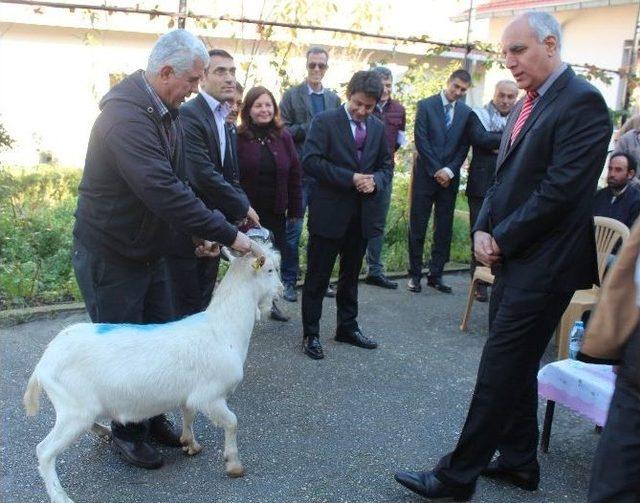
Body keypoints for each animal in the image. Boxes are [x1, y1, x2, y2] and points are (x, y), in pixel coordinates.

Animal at [23, 247, 282, 503]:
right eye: (270, 270)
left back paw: (103, 431)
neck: (222, 329)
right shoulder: (211, 396)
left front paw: (189, 443)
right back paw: (61, 496)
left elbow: (188, 414)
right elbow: (232, 422)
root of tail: (44, 362)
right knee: (44, 451)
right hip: (74, 409)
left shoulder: (190, 395)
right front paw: (234, 465)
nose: (281, 290)